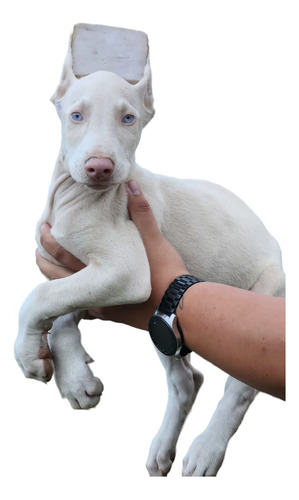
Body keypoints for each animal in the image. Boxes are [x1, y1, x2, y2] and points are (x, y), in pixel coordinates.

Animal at [14, 44, 286, 476]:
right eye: (76, 115)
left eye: (129, 118)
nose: (99, 167)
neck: (77, 198)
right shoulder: (75, 267)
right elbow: (60, 306)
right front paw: (73, 376)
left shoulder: (125, 271)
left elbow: (40, 296)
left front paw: (28, 354)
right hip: (167, 324)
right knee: (187, 381)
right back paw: (162, 450)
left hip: (265, 295)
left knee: (239, 387)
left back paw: (206, 449)